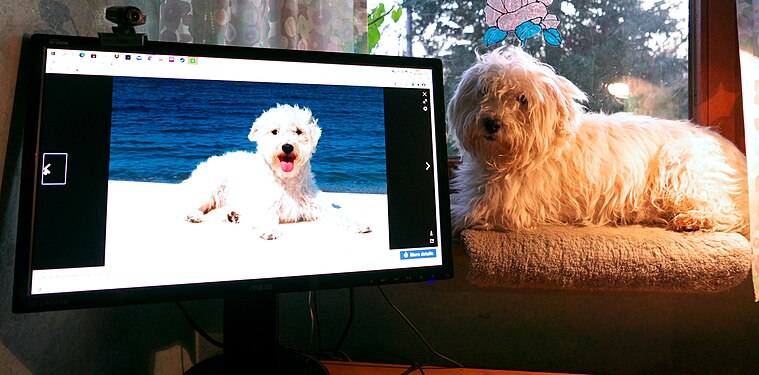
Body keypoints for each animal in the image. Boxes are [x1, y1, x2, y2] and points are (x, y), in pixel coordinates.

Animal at [184, 104, 374, 239]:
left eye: (298, 131)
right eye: (274, 132)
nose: (287, 147)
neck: (286, 180)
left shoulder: (317, 206)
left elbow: (340, 214)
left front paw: (358, 224)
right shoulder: (266, 204)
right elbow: (267, 216)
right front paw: (270, 230)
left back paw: (234, 215)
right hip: (211, 187)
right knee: (193, 203)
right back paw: (194, 215)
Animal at [448, 46, 752, 235]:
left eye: (522, 99)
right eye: (484, 90)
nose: (491, 123)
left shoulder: (504, 206)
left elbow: (459, 212)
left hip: (680, 170)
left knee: (729, 213)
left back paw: (692, 220)